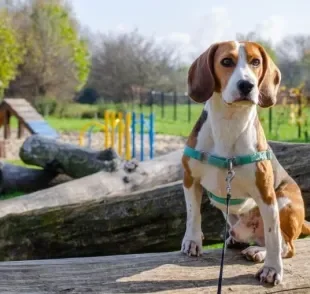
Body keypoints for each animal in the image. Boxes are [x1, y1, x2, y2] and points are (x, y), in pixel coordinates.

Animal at [180, 40, 308, 284]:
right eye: (226, 61)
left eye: (256, 62)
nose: (247, 85)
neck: (230, 123)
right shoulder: (190, 179)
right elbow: (193, 214)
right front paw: (192, 241)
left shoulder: (266, 194)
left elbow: (273, 236)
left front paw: (272, 269)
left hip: (283, 199)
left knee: (285, 244)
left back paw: (258, 252)